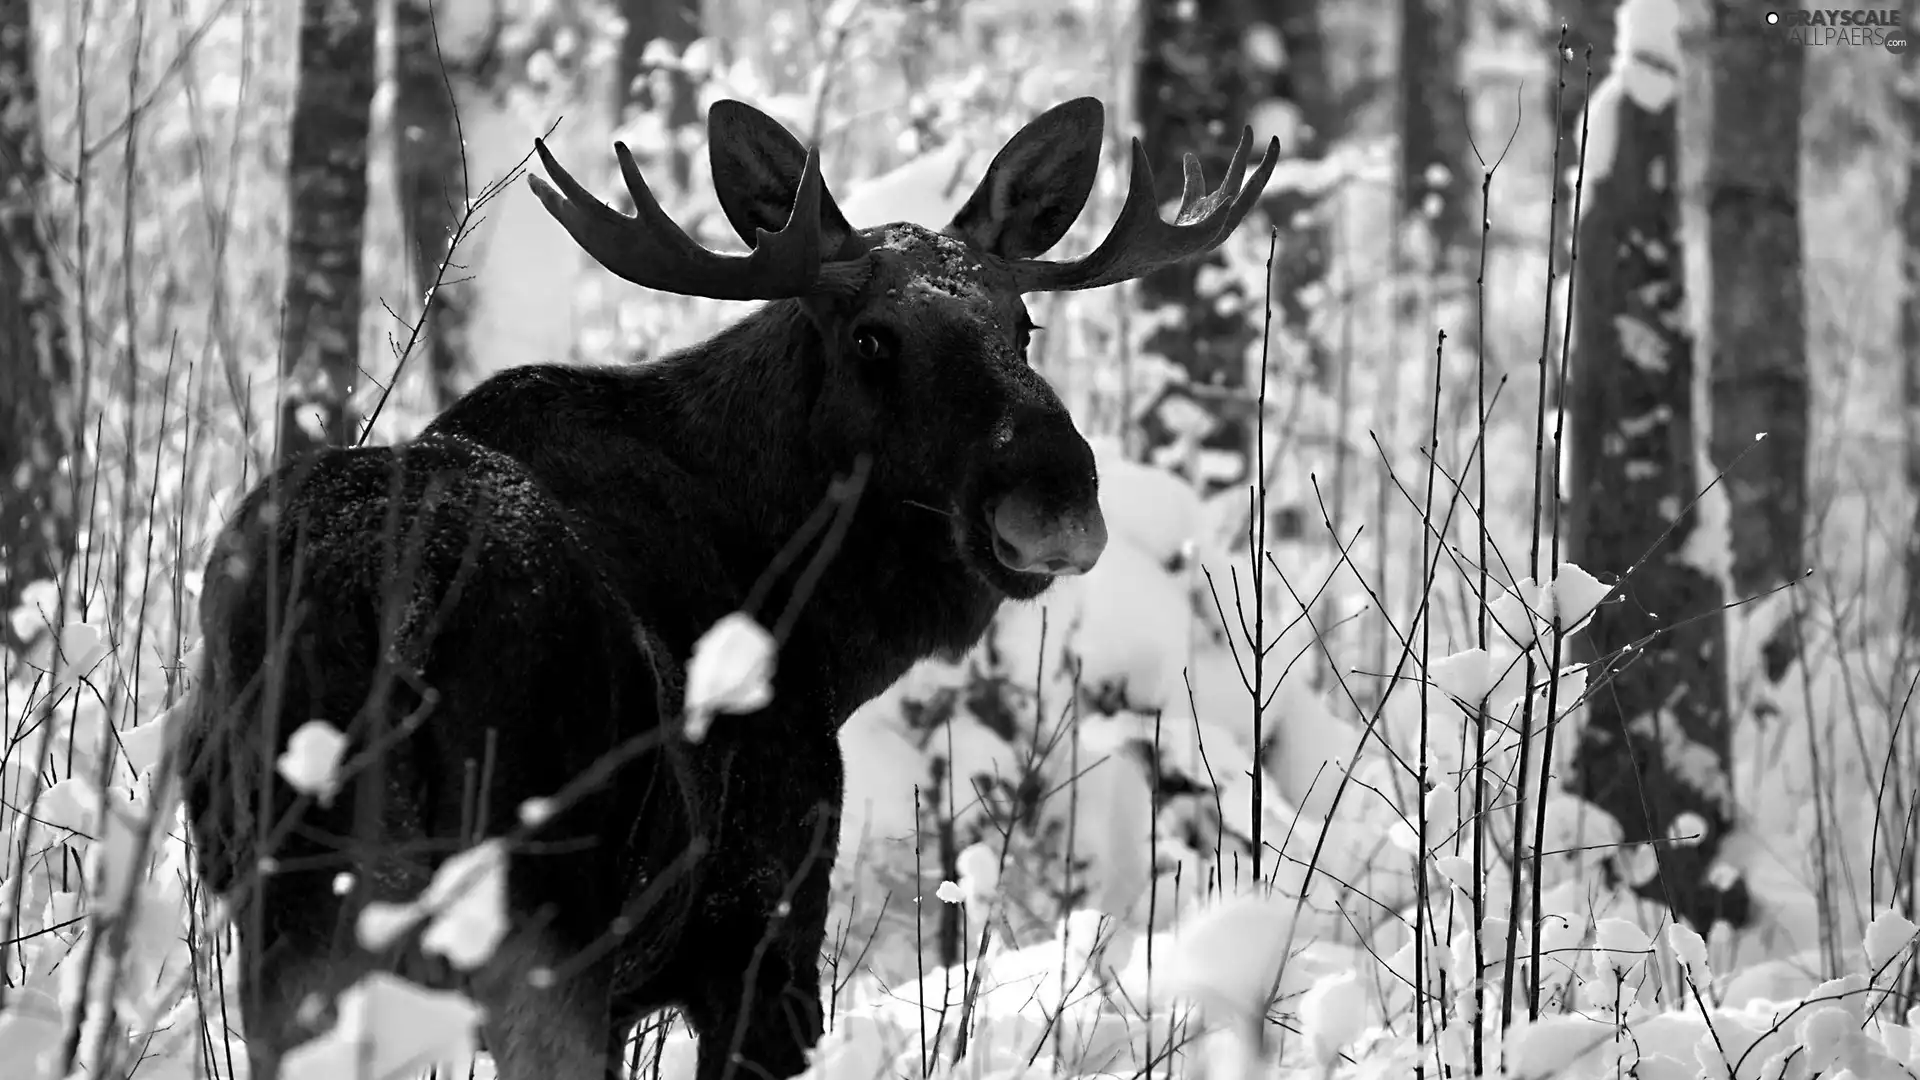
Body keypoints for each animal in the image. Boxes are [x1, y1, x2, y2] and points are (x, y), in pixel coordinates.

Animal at [176, 96, 1274, 1068]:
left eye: (1024, 326)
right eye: (872, 336)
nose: (1055, 497)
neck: (827, 634)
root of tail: (371, 602)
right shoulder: (764, 926)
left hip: (291, 923)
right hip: (533, 921)